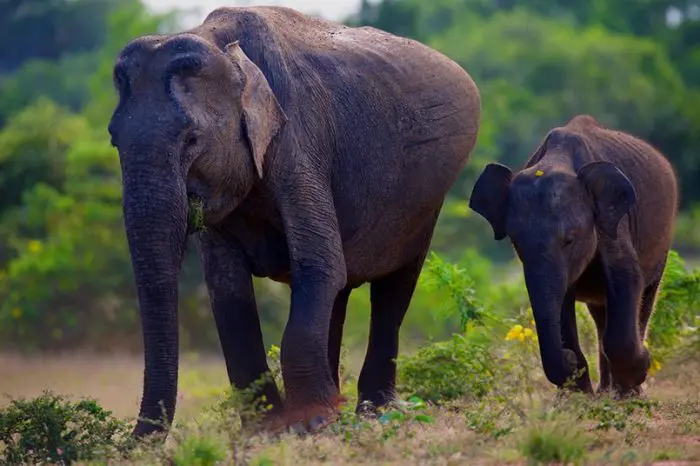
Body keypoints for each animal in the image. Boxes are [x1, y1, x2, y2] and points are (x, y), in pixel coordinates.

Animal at [108, 5, 482, 438]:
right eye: (114, 140)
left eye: (192, 139)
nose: (133, 440)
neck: (221, 44)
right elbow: (228, 289)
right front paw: (265, 428)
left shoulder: (298, 141)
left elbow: (320, 266)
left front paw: (310, 424)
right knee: (340, 291)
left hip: (426, 200)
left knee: (393, 285)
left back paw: (374, 411)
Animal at [470, 115, 680, 396]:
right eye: (516, 243)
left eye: (569, 240)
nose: (567, 358)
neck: (557, 158)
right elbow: (562, 300)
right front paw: (576, 394)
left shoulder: (614, 223)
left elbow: (627, 278)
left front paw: (638, 372)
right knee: (601, 314)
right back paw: (605, 391)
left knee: (644, 299)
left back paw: (624, 391)